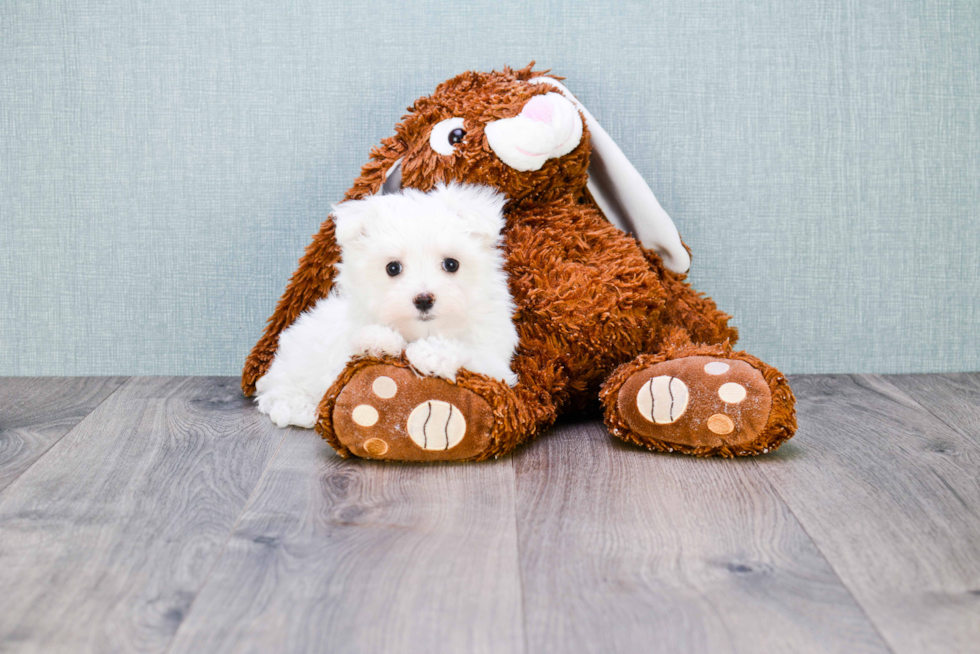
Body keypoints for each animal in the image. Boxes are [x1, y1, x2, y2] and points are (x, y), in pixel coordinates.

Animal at [253, 183, 520, 430]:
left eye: (451, 264)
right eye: (393, 268)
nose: (424, 299)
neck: (422, 332)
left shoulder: (495, 362)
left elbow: (474, 356)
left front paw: (432, 353)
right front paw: (378, 340)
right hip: (295, 361)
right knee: (277, 390)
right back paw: (299, 408)